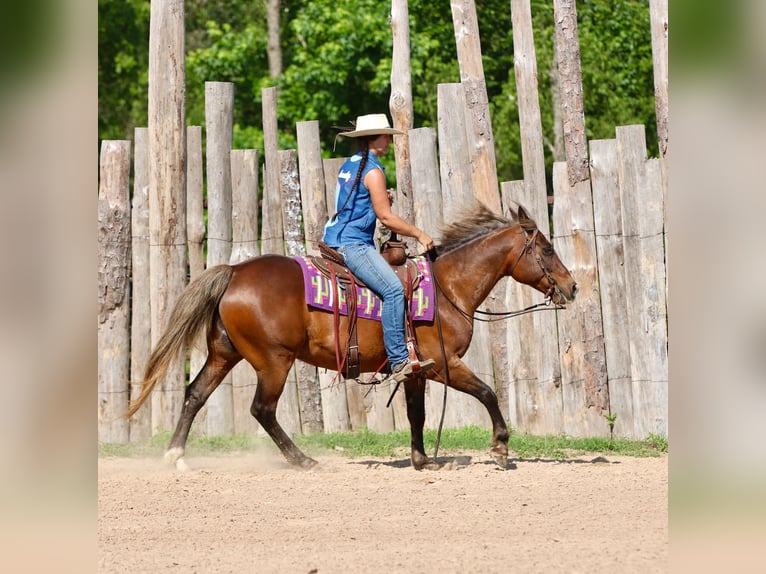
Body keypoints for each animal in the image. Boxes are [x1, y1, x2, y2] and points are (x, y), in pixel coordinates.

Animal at [126, 202, 577, 471]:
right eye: (547, 249)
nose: (572, 287)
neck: (447, 288)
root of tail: (234, 272)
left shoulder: (415, 370)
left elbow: (416, 414)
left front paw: (421, 460)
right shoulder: (445, 365)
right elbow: (487, 393)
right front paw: (500, 448)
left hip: (225, 353)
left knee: (195, 394)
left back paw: (176, 456)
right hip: (273, 361)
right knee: (262, 410)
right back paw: (303, 460)